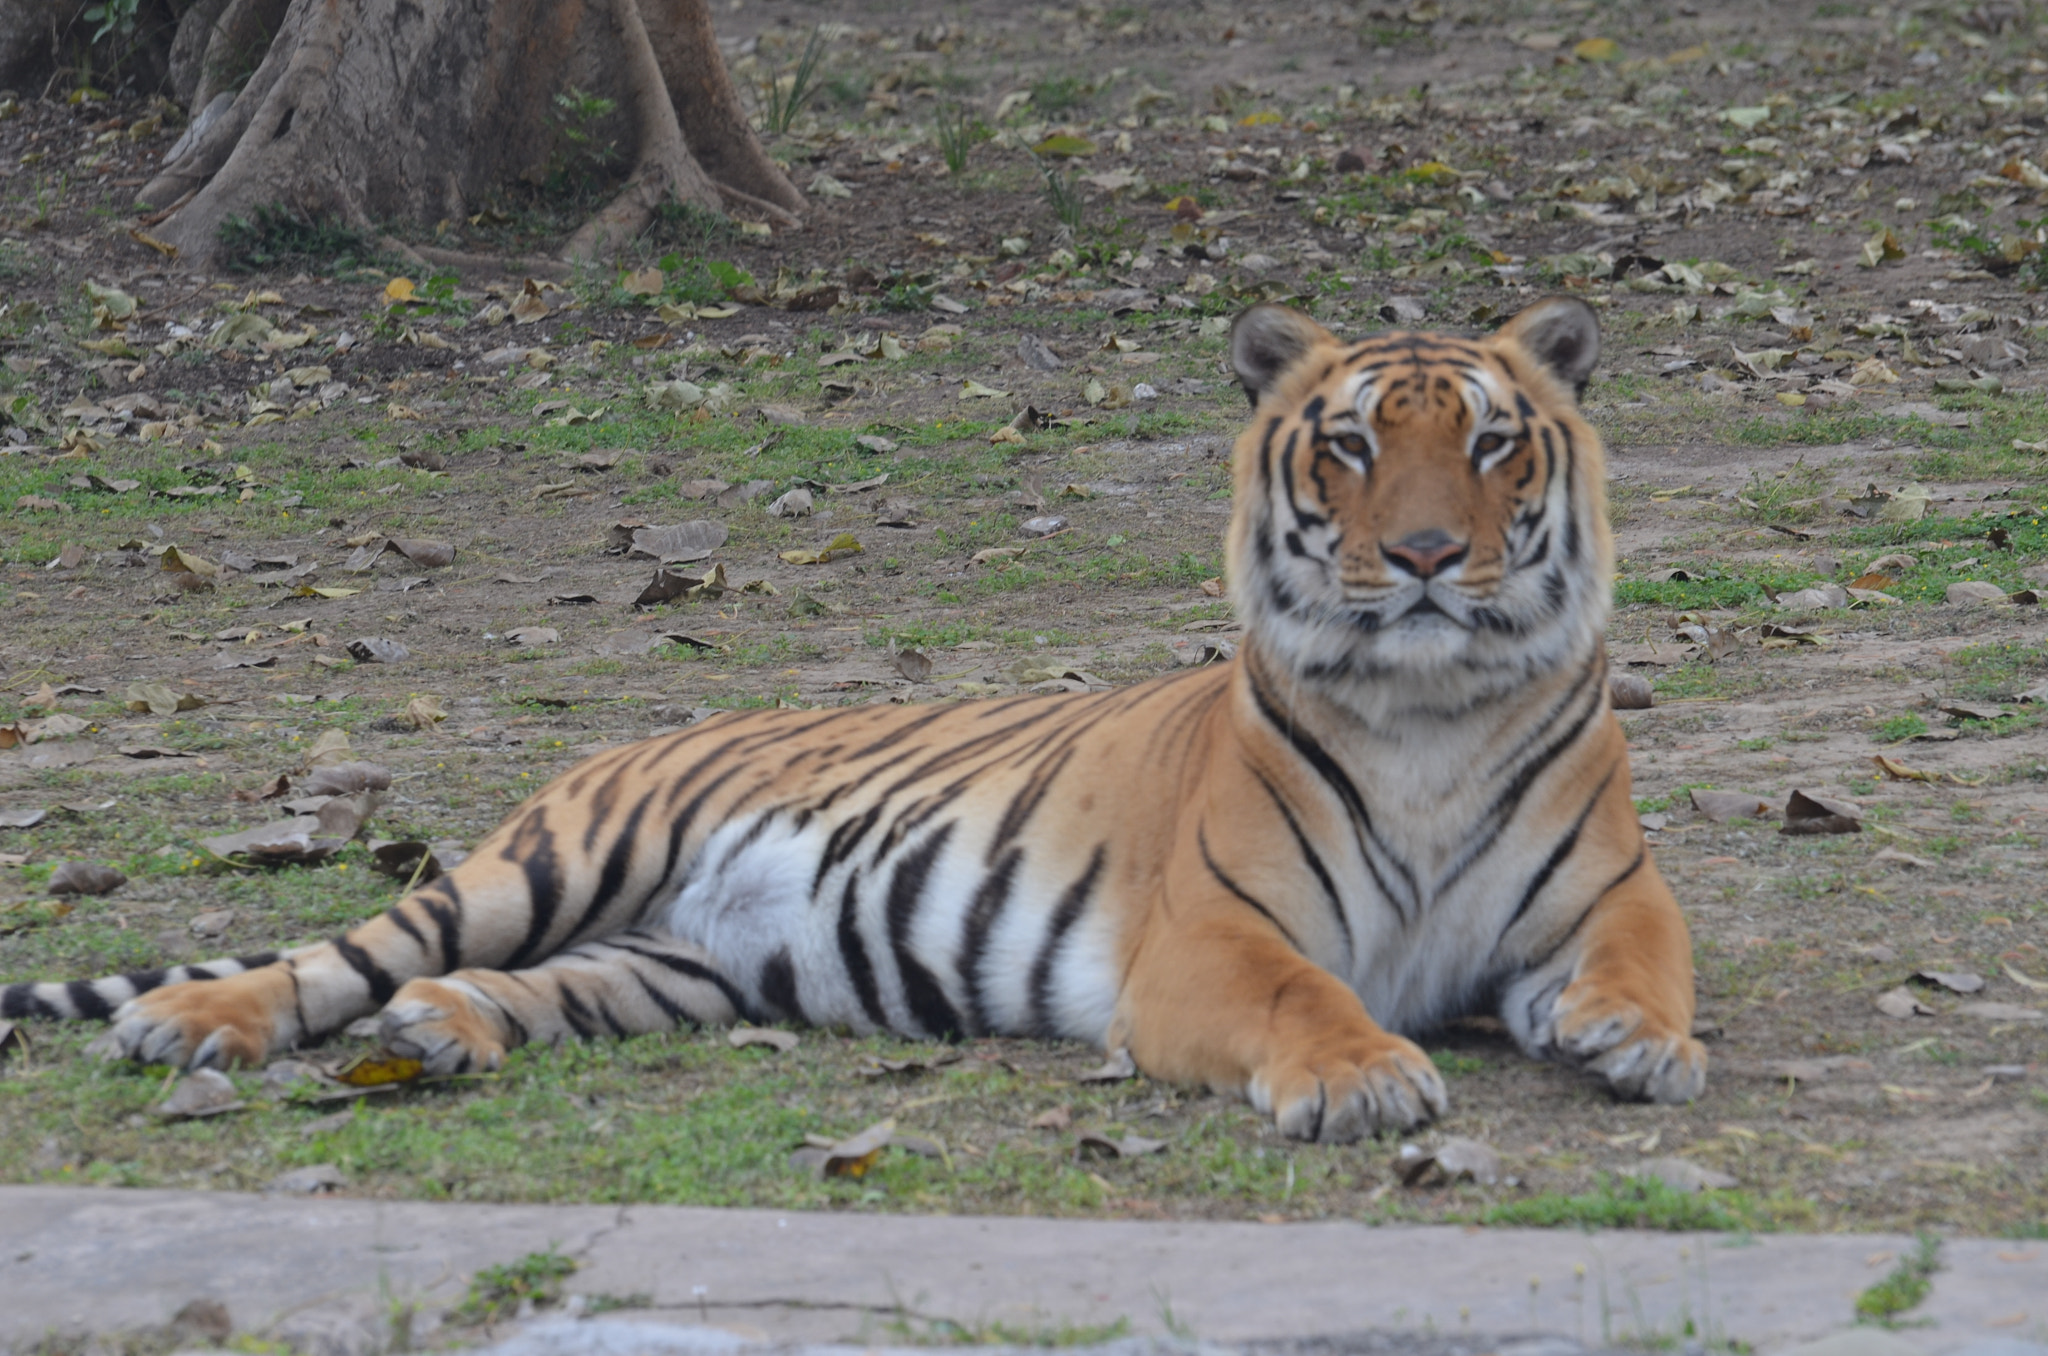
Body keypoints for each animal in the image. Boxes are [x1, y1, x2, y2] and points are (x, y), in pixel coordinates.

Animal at [0, 301, 1703, 1147]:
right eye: (1347, 448)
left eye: (1488, 445)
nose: (1420, 557)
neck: (1427, 714)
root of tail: (639, 732)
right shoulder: (1210, 939)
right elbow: (1307, 997)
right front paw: (1362, 1081)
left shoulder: (1608, 896)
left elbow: (1642, 963)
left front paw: (1636, 1040)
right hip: (538, 867)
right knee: (328, 961)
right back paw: (197, 1025)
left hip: (669, 966)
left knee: (502, 988)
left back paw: (441, 1036)